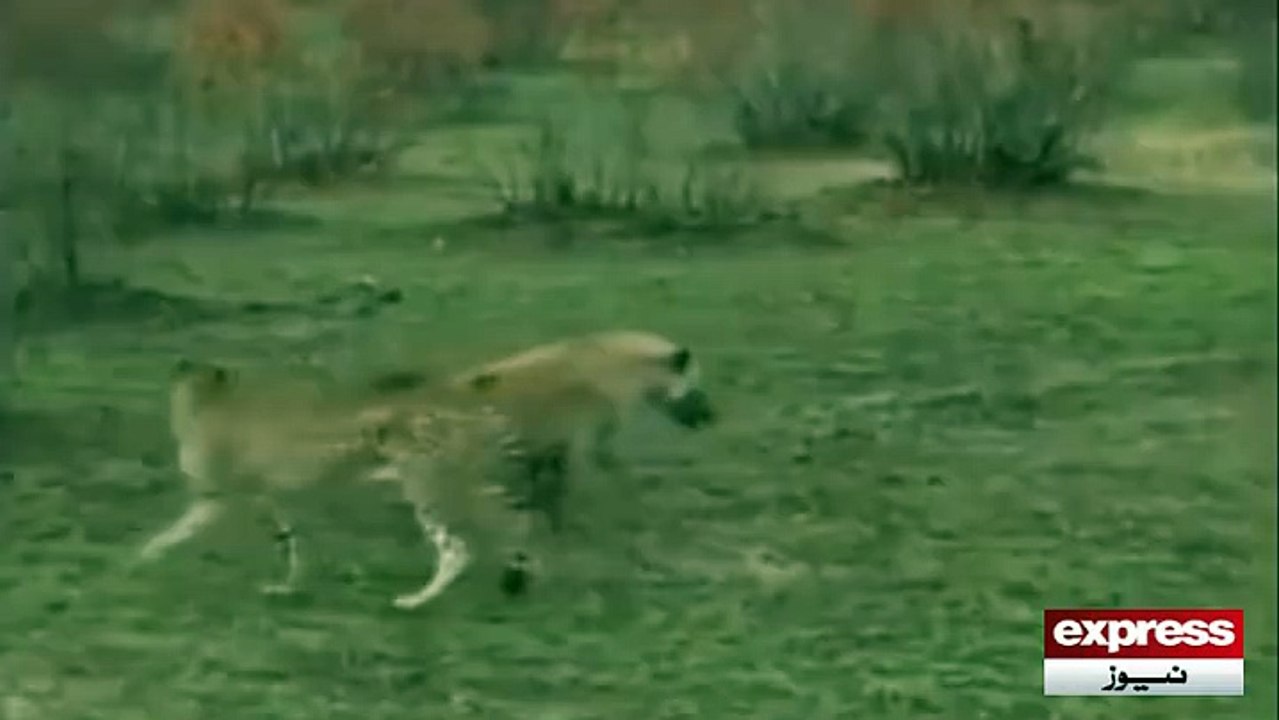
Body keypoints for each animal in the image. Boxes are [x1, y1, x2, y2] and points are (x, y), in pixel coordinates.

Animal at [133, 358, 532, 611]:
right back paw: (518, 575)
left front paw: (139, 559)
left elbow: (173, 533)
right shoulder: (273, 497)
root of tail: (462, 414)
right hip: (464, 487)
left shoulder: (219, 498)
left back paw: (415, 601)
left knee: (457, 549)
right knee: (513, 519)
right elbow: (292, 543)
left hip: (429, 491)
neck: (208, 402)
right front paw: (287, 587)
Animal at [369, 330, 717, 532]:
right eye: (697, 385)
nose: (710, 418)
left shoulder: (549, 448)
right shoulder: (584, 444)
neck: (616, 374)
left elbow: (544, 493)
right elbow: (602, 480)